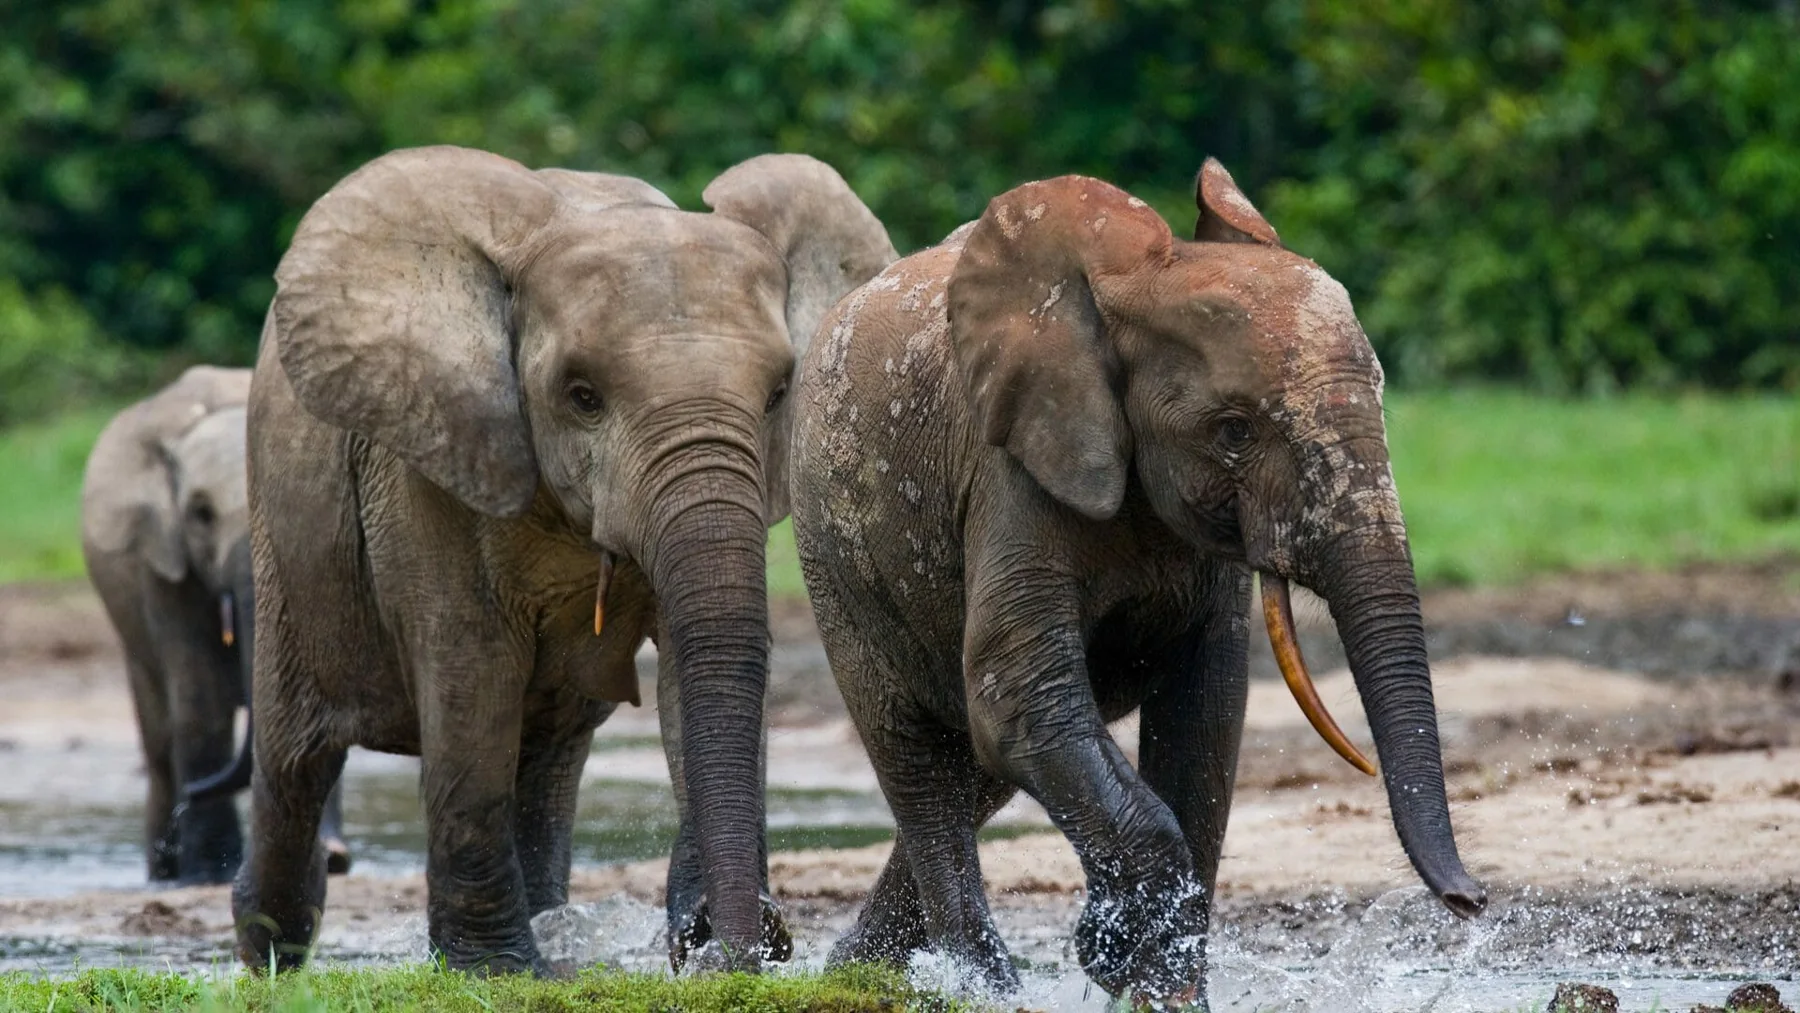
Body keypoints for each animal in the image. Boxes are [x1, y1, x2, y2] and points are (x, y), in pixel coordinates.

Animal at [80, 366, 349, 885]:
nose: (198, 790)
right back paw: (166, 871)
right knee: (160, 746)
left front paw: (329, 858)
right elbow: (200, 702)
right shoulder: (163, 561)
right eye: (201, 515)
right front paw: (208, 873)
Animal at [234, 145, 896, 976]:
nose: (757, 942)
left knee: (545, 764)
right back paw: (272, 952)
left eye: (780, 391)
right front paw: (494, 970)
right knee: (295, 759)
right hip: (283, 538)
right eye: (581, 395)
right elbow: (472, 676)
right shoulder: (434, 459)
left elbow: (690, 669)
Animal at [789, 161, 1485, 1007]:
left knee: (978, 768)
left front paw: (1161, 983)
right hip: (834, 558)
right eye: (1233, 430)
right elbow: (1016, 693)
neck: (1130, 290)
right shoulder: (1011, 469)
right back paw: (976, 983)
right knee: (921, 757)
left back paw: (856, 969)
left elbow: (1204, 709)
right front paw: (1116, 952)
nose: (1471, 900)